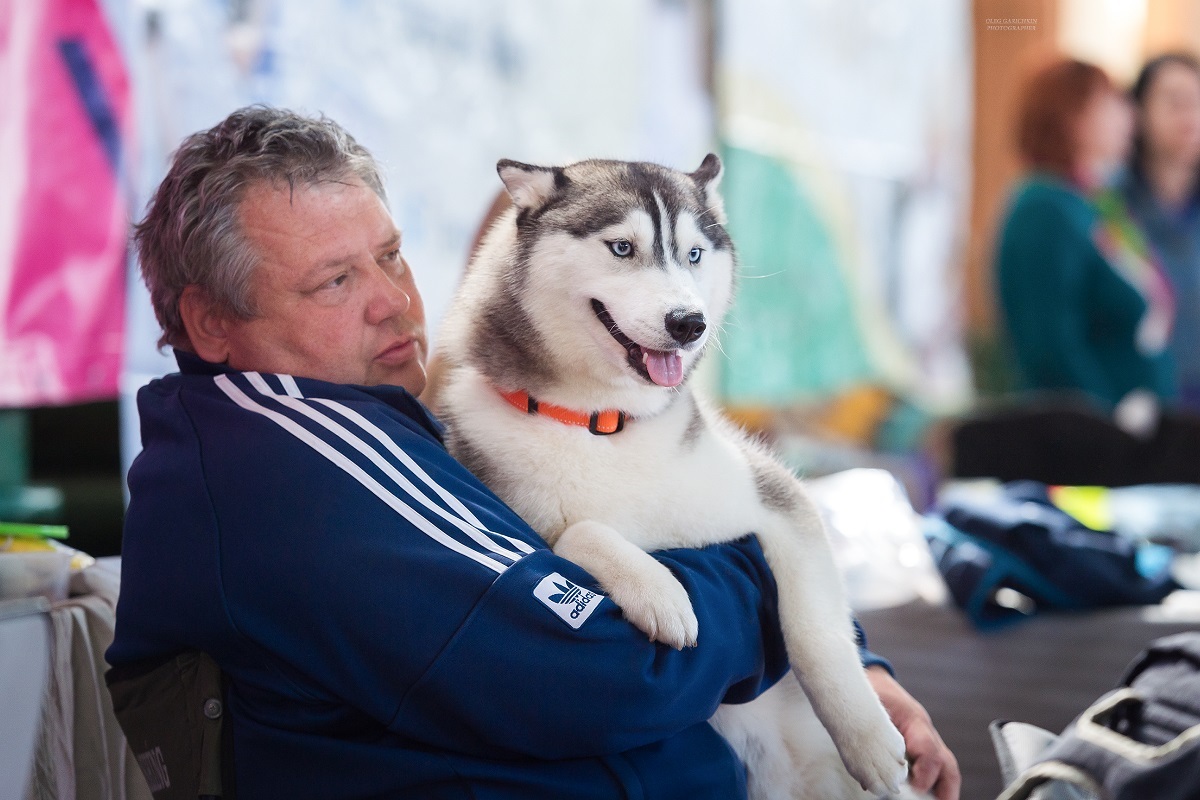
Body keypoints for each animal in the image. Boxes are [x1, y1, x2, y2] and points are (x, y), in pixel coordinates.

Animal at [441, 153, 907, 796]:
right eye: (621, 248)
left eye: (693, 254)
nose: (690, 323)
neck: (603, 422)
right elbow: (580, 531)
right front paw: (659, 591)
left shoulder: (774, 498)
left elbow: (816, 632)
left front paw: (868, 739)